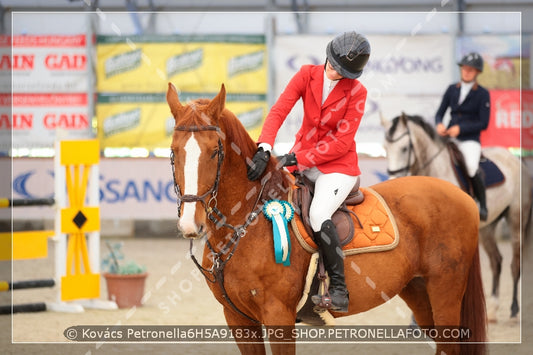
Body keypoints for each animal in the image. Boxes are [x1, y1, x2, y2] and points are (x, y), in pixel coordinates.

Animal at [166, 85, 486, 355]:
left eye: (214, 152)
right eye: (173, 151)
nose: (190, 224)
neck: (247, 224)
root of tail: (461, 196)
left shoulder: (278, 316)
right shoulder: (238, 319)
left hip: (445, 292)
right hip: (419, 292)